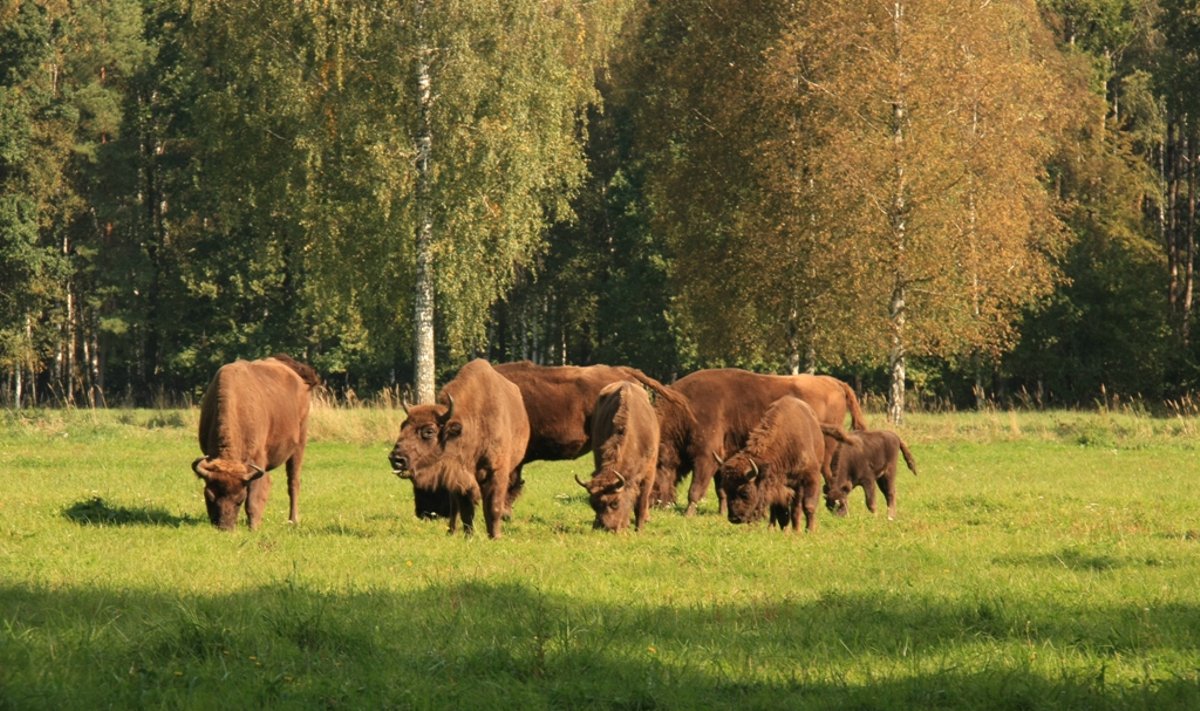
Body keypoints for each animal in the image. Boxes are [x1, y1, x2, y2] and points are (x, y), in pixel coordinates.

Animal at [388, 357, 530, 535]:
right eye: (403, 426)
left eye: (429, 431)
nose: (396, 459)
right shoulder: (459, 478)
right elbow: (466, 512)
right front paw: (469, 536)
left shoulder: (497, 472)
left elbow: (493, 508)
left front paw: (495, 536)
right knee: (454, 506)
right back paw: (451, 531)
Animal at [576, 379, 662, 530]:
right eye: (593, 504)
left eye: (615, 503)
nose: (606, 528)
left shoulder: (649, 473)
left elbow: (641, 502)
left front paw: (639, 529)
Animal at [652, 369, 868, 514]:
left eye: (655, 469)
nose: (654, 502)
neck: (686, 409)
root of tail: (835, 382)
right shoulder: (723, 457)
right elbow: (720, 488)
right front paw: (722, 511)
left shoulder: (705, 456)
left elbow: (696, 489)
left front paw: (689, 513)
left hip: (825, 453)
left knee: (832, 476)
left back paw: (839, 510)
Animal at [710, 396, 854, 530]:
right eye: (727, 489)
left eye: (745, 492)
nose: (734, 518)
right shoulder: (778, 487)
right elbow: (780, 511)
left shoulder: (810, 478)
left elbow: (808, 506)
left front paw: (809, 530)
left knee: (797, 508)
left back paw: (797, 529)